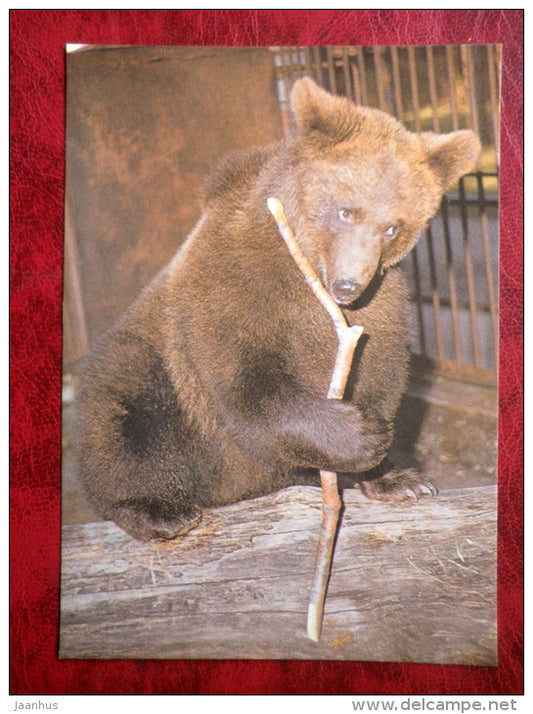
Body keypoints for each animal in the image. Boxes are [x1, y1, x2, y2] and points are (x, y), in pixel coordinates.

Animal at [76, 77, 481, 541]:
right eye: (345, 211)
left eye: (392, 227)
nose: (348, 284)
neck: (307, 268)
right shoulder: (237, 286)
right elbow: (248, 388)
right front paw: (361, 433)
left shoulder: (382, 307)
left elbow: (380, 373)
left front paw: (398, 477)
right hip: (160, 384)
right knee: (122, 411)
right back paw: (157, 510)